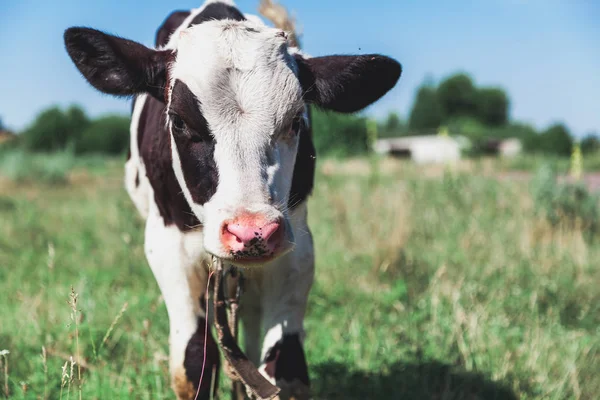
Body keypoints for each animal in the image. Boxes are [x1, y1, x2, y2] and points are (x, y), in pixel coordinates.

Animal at [63, 1, 400, 398]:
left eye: (295, 121)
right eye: (179, 122)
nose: (251, 231)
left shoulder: (297, 248)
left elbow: (285, 367)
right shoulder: (169, 247)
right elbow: (196, 361)